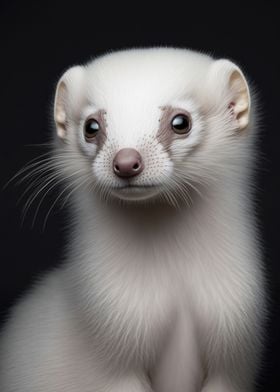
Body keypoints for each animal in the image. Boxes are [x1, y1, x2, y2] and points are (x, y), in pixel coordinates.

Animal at [0, 47, 266, 390]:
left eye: (181, 121)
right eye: (91, 126)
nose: (126, 161)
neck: (176, 291)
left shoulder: (236, 348)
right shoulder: (109, 344)